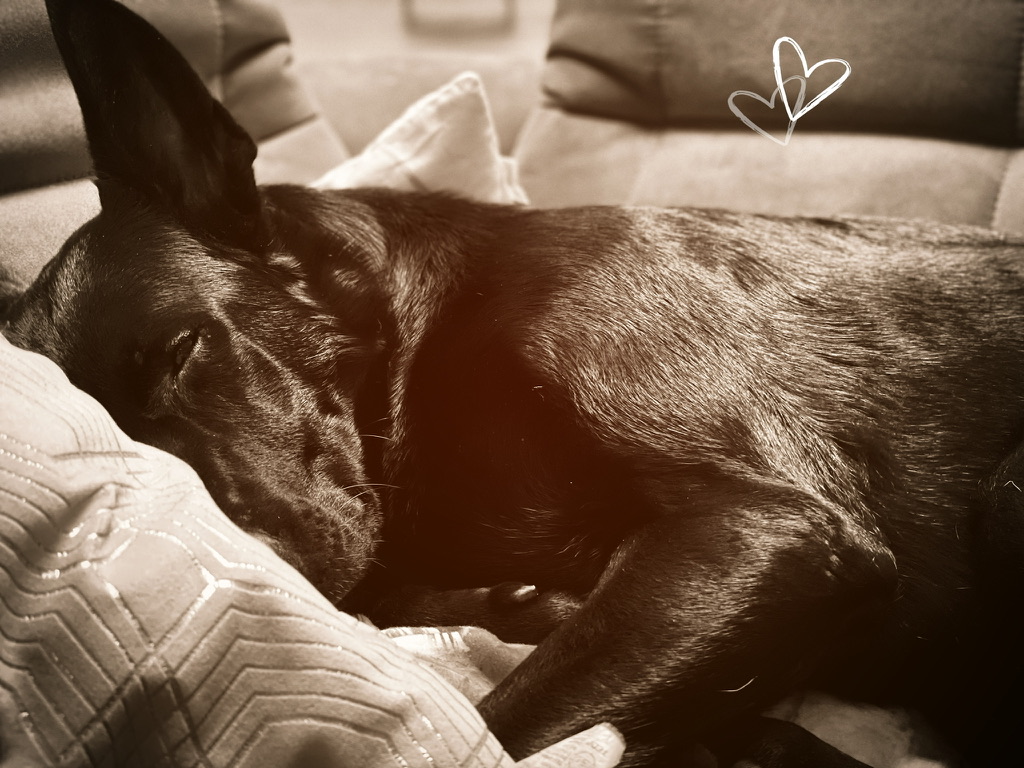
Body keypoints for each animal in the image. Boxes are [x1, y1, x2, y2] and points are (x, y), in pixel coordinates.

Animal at [3, 0, 1024, 765]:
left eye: (182, 350)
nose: (258, 569)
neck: (430, 337)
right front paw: (517, 606)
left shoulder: (767, 527)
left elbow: (497, 732)